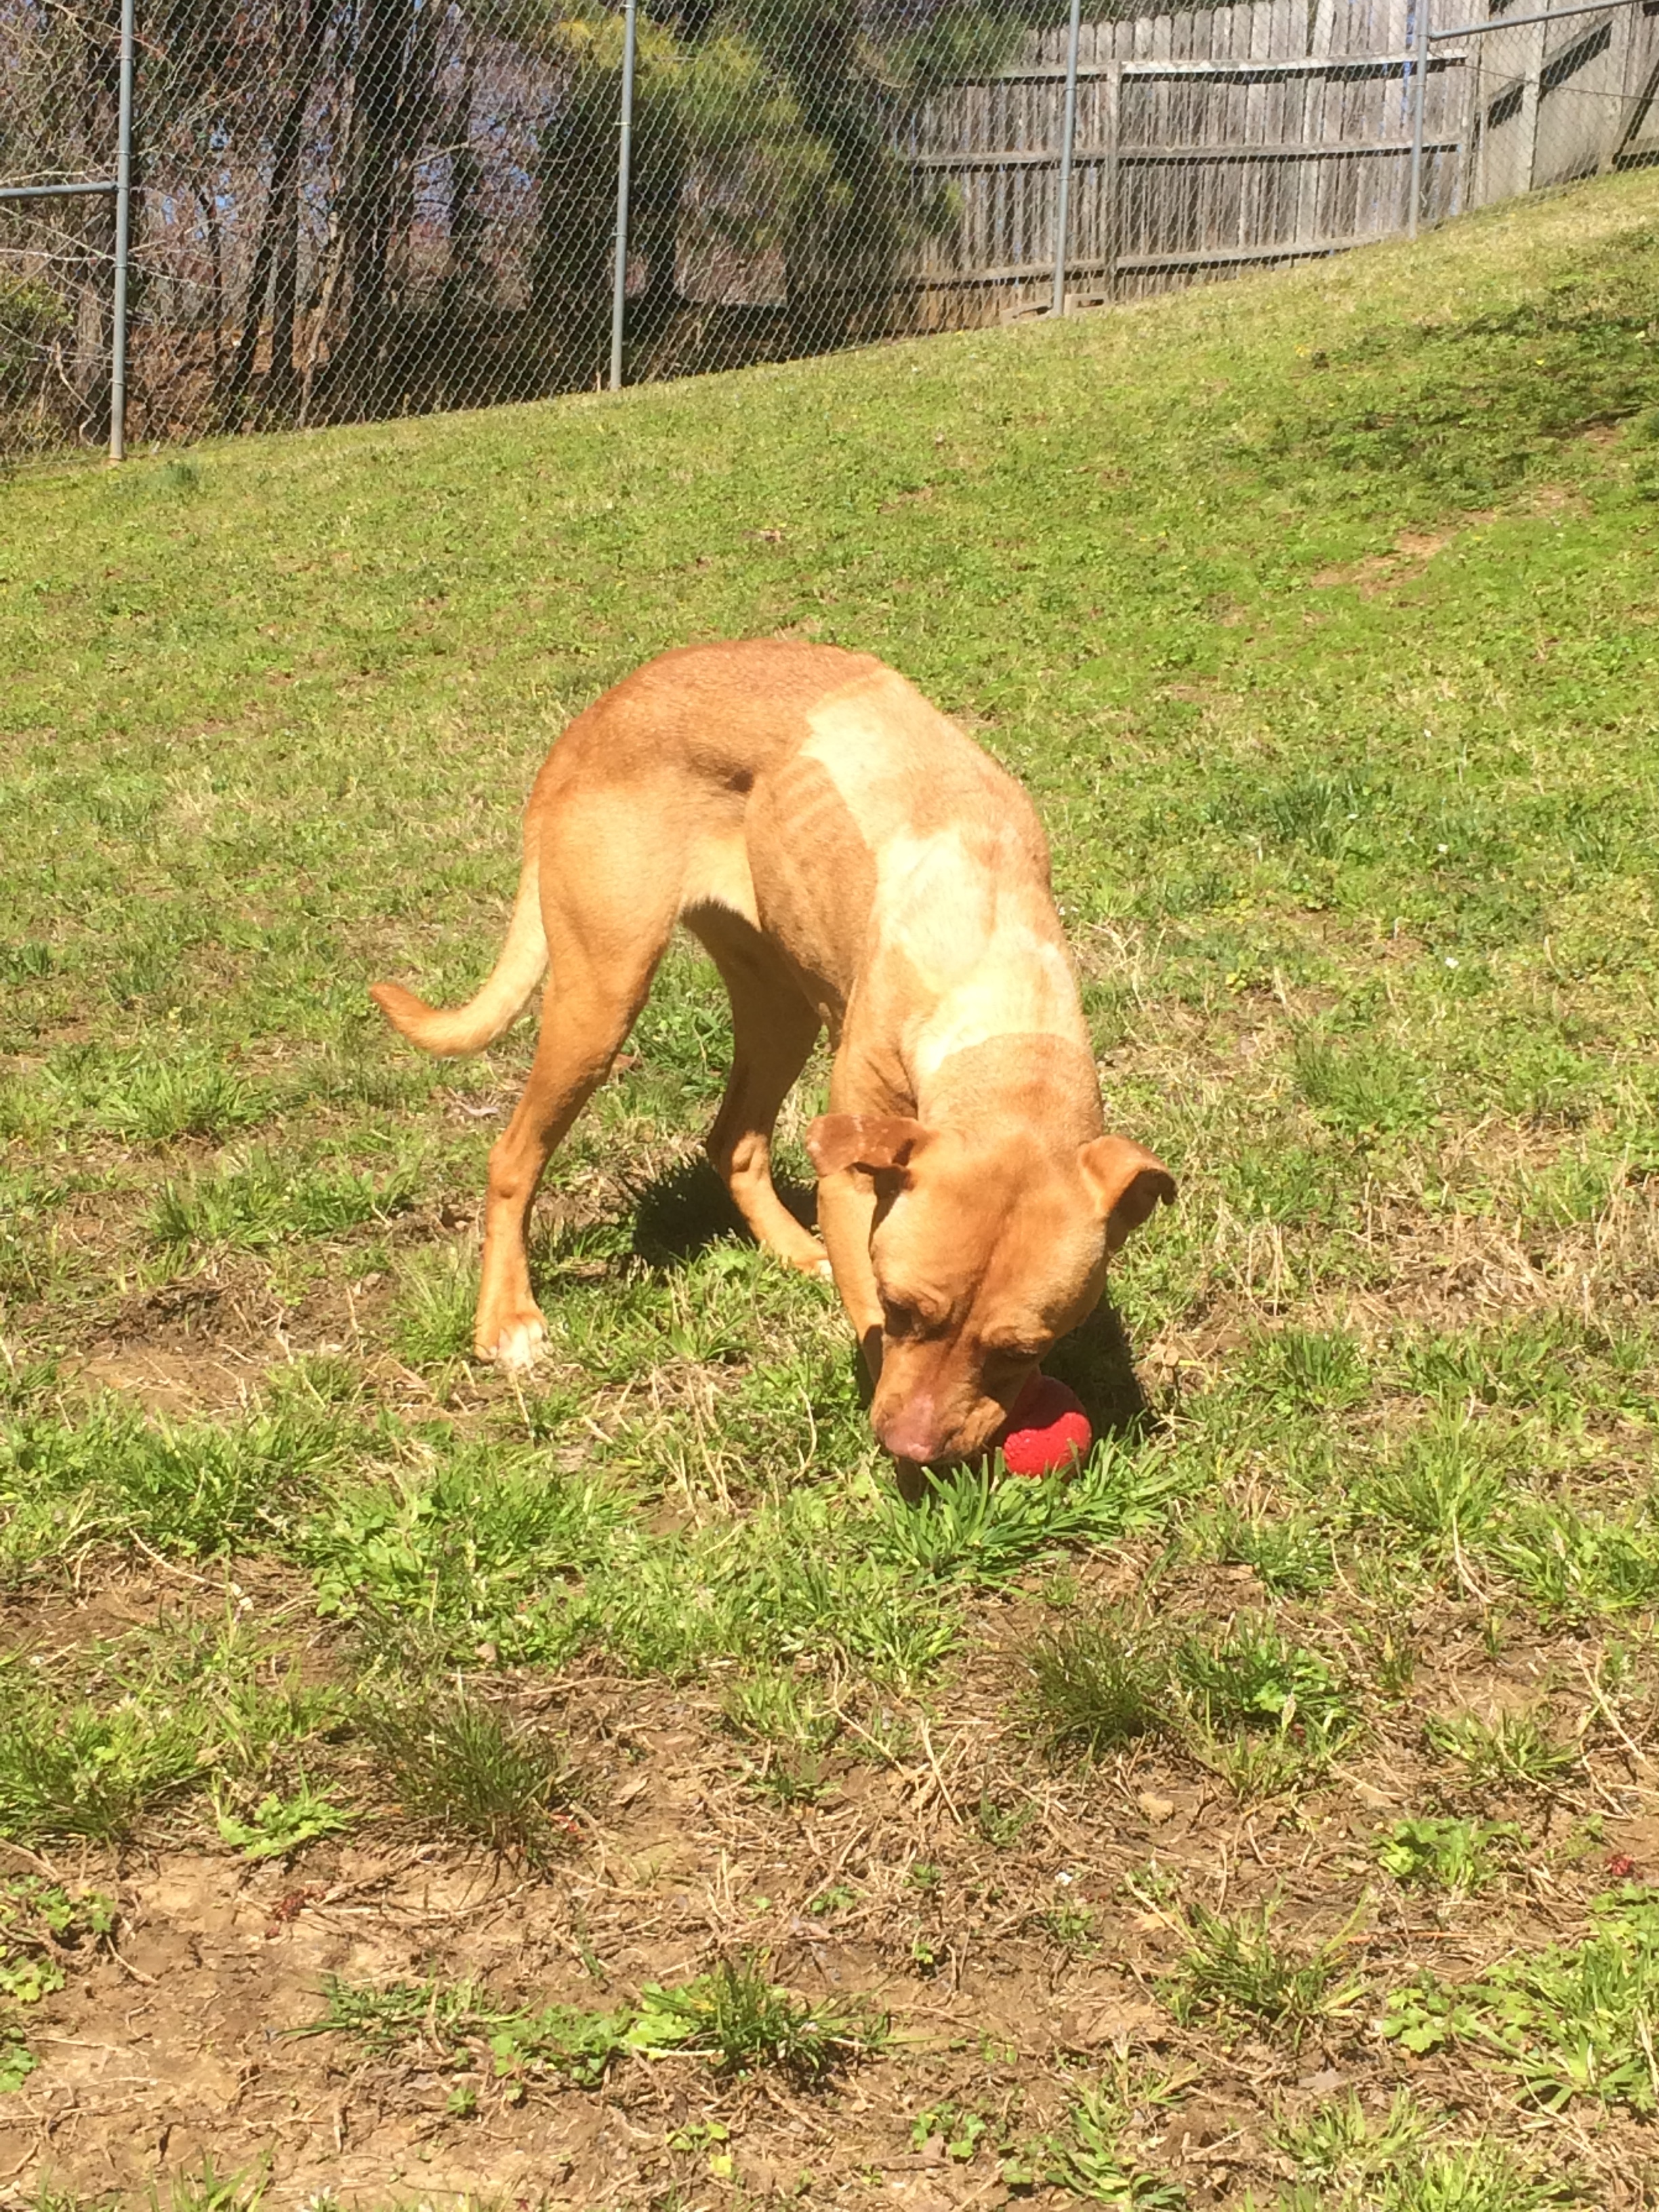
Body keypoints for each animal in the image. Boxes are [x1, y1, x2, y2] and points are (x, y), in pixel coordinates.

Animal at [373, 641, 1185, 1469]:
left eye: (1024, 1349)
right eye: (901, 1306)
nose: (915, 1446)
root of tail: (600, 712)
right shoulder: (854, 1181)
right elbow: (867, 1321)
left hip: (777, 1005)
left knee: (733, 1138)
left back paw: (795, 1248)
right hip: (602, 993)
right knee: (515, 1155)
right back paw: (508, 1318)